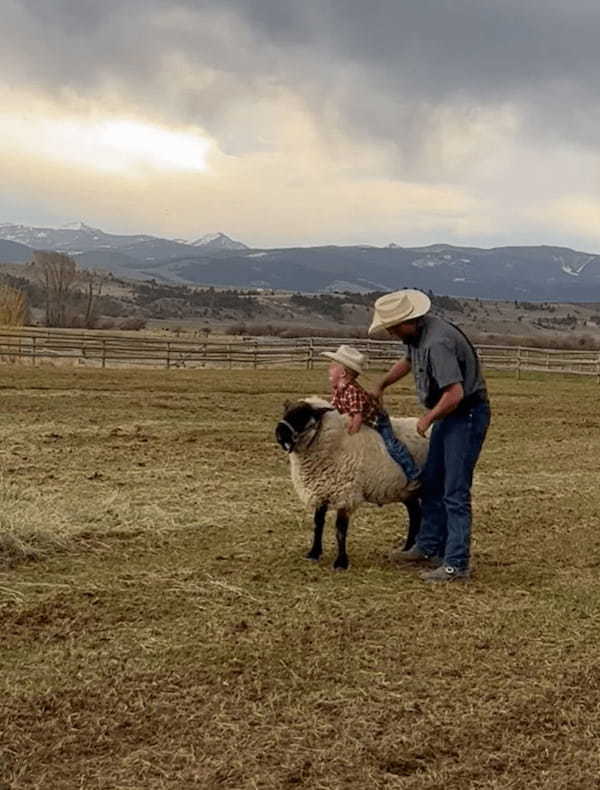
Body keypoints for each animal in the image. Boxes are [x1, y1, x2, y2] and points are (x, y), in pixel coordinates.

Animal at [274, 400, 428, 572]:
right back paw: (407, 548)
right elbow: (318, 523)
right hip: (406, 491)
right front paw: (314, 553)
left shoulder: (345, 494)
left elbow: (340, 529)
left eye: (303, 415)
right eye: (286, 411)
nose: (279, 434)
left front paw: (341, 562)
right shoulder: (322, 490)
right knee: (415, 514)